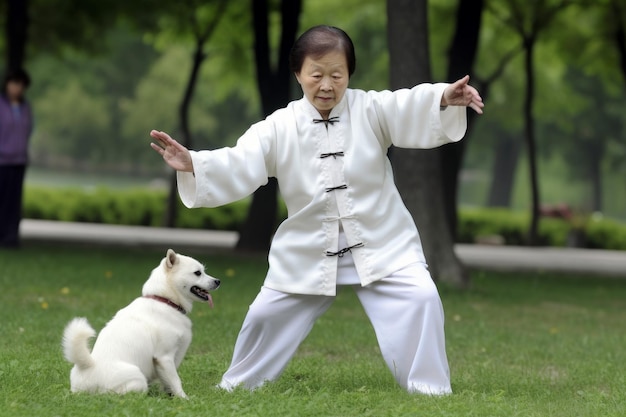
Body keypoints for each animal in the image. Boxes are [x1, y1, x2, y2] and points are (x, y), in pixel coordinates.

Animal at [62, 247, 219, 396]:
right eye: (197, 273)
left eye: (203, 271)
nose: (218, 281)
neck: (165, 301)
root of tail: (88, 367)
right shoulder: (165, 357)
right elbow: (176, 381)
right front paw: (184, 399)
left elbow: (168, 383)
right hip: (137, 379)